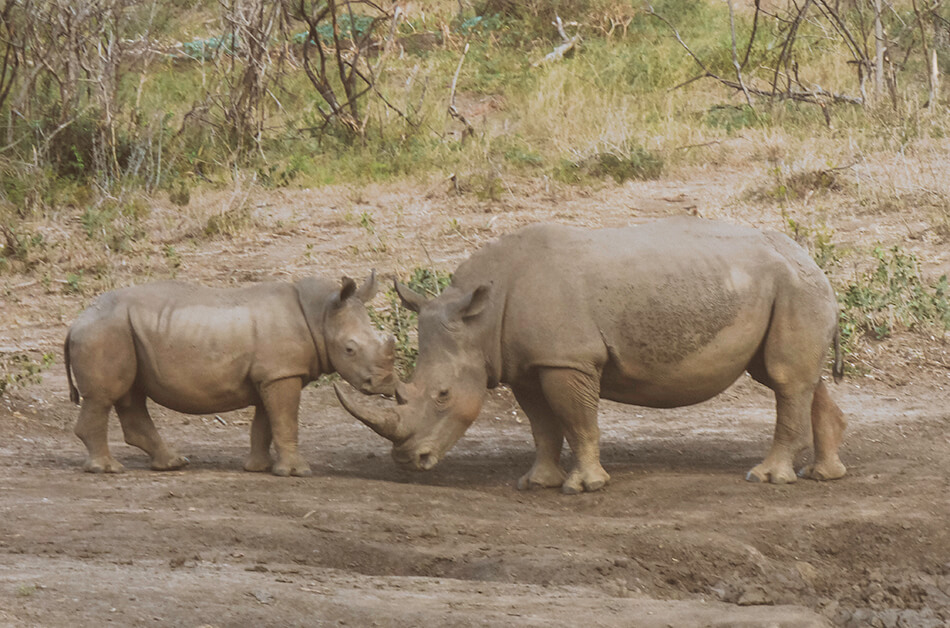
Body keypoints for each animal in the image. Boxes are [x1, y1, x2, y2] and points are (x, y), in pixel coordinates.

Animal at [66, 272, 394, 476]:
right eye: (349, 349)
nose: (385, 384)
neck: (321, 313)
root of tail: (77, 321)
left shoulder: (272, 374)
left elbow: (266, 424)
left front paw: (260, 468)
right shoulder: (282, 374)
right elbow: (286, 421)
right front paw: (297, 472)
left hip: (121, 329)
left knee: (130, 395)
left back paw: (173, 463)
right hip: (105, 331)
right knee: (104, 397)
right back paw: (108, 469)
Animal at [338, 218, 852, 494]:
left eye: (443, 395)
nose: (408, 462)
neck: (479, 321)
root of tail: (812, 260)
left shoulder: (568, 360)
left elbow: (577, 419)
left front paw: (583, 487)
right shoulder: (527, 363)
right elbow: (542, 425)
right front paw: (537, 483)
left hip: (794, 286)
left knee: (785, 380)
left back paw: (766, 478)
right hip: (788, 287)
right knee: (793, 377)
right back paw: (823, 476)